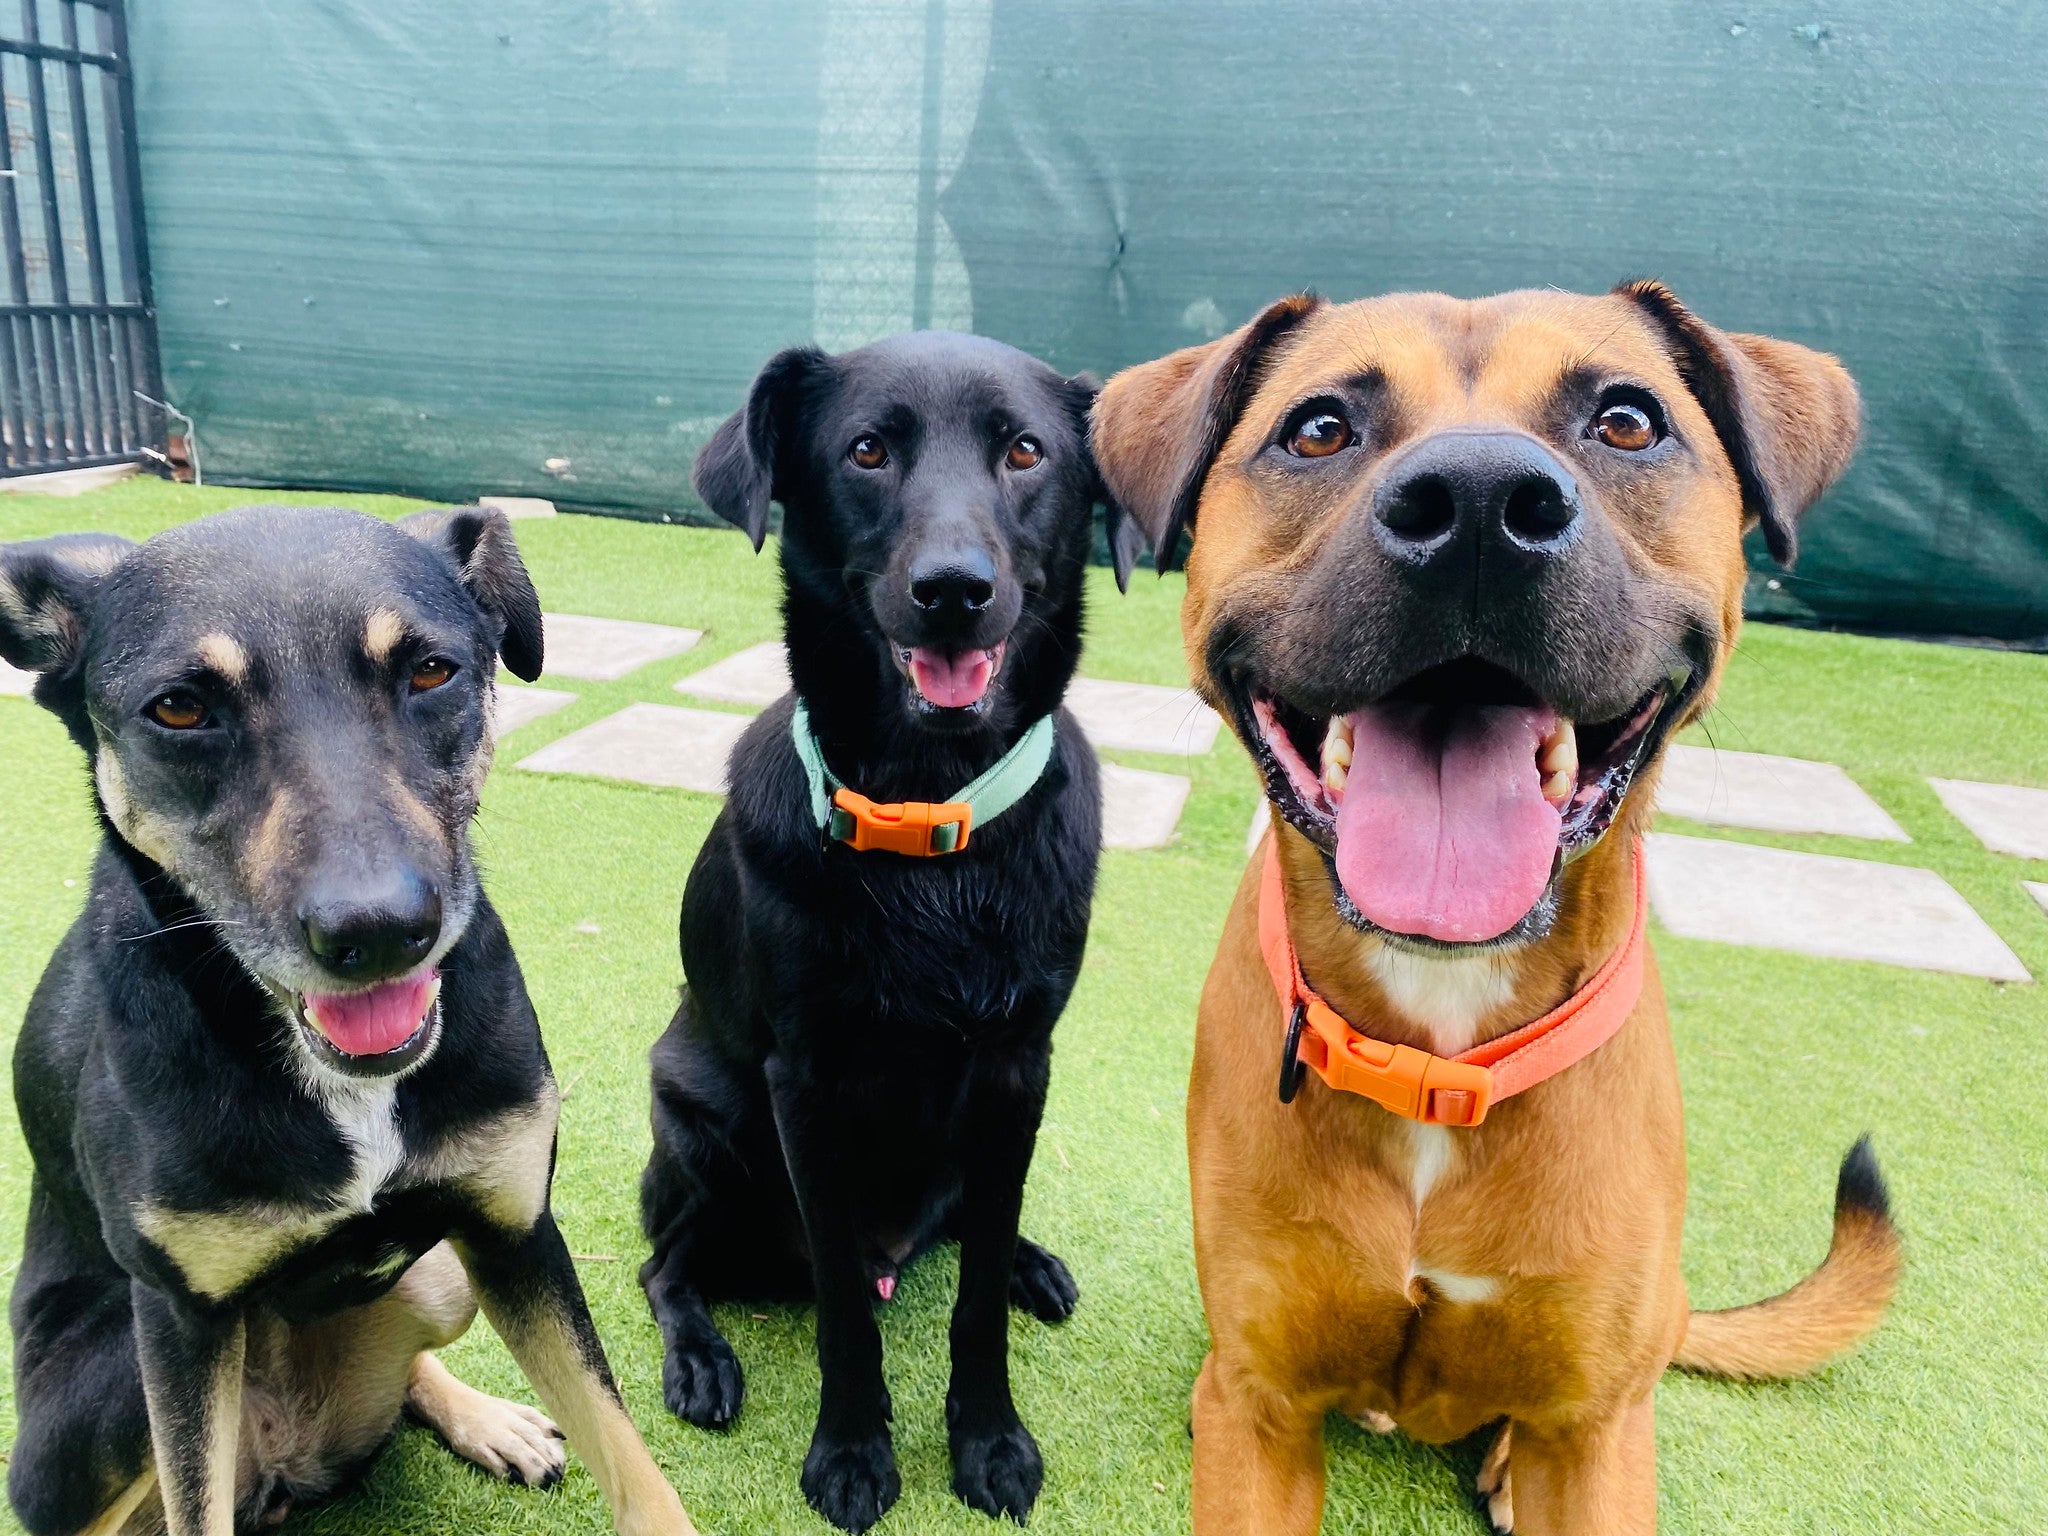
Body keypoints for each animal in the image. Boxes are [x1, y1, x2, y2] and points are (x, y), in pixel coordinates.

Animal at [2, 506, 695, 1536]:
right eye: (179, 708)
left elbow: (633, 1461)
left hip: (438, 1272)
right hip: (113, 1388)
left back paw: (486, 1419)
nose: (379, 933)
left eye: (431, 671)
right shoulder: (179, 1321)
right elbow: (194, 1504)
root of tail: (289, 1465)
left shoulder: (516, 1230)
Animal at [639, 332, 1140, 1533]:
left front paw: (990, 1440)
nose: (953, 592)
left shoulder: (1018, 1067)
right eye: (866, 451)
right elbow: (840, 1310)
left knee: (972, 1231)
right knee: (664, 1268)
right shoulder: (805, 1090)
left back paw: (1032, 1264)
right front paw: (853, 1452)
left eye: (1023, 451)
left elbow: (975, 1298)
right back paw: (698, 1359)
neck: (928, 825)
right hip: (704, 1126)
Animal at [1090, 283, 1902, 1535]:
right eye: (1316, 429)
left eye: (1626, 421)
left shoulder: (1593, 1429)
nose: (1476, 505)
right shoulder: (1264, 1410)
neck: (1438, 1042)